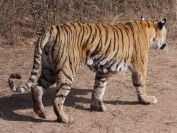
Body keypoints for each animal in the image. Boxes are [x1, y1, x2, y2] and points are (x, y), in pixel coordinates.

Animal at [8, 17, 167, 123]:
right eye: (165, 34)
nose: (166, 44)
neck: (148, 29)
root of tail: (51, 29)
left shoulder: (102, 70)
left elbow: (99, 89)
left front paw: (97, 106)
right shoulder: (140, 67)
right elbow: (141, 85)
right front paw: (147, 99)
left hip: (49, 70)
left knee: (36, 87)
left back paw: (41, 113)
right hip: (66, 71)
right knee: (57, 98)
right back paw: (65, 119)